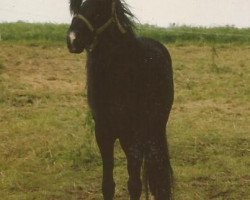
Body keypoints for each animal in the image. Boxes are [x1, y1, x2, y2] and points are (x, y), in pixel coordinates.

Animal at [66, 0, 174, 199]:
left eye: (100, 9)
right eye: (80, 7)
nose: (72, 39)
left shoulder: (132, 135)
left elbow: (134, 184)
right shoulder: (103, 132)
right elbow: (108, 184)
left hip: (155, 127)